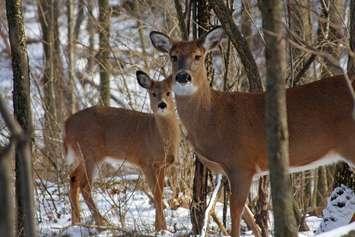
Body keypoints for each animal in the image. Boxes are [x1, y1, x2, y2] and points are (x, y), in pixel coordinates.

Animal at [62, 70, 179, 230]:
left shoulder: (162, 165)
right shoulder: (146, 162)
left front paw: (162, 227)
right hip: (91, 153)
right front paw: (160, 228)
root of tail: (66, 125)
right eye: (153, 93)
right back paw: (102, 223)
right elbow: (156, 193)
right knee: (84, 185)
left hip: (85, 155)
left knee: (73, 178)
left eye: (168, 92)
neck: (157, 135)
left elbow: (160, 193)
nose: (162, 104)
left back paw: (76, 223)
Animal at [150, 26, 355, 236]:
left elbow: (236, 212)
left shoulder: (241, 163)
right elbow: (249, 217)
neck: (213, 118)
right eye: (173, 56)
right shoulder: (231, 171)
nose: (183, 76)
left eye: (198, 56)